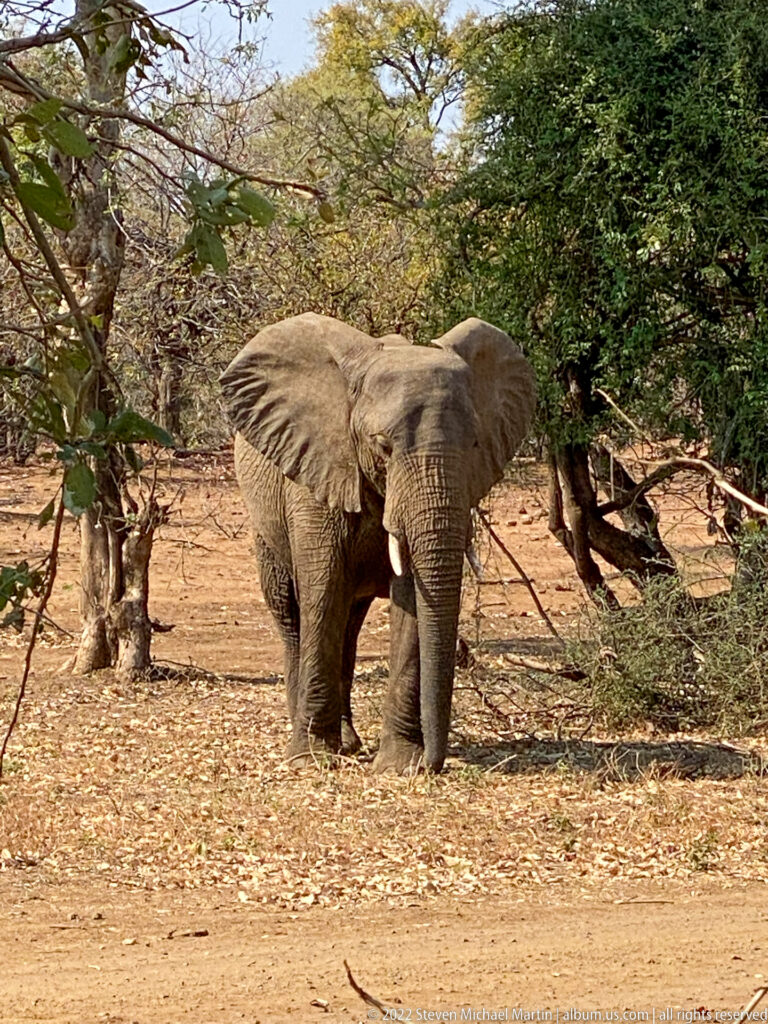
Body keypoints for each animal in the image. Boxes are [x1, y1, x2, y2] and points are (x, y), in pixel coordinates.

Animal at [220, 313, 536, 773]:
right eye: (383, 447)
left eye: (475, 444)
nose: (435, 764)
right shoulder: (317, 474)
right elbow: (323, 589)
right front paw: (313, 759)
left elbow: (411, 602)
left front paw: (400, 765)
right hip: (264, 519)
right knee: (292, 612)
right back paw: (309, 736)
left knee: (350, 624)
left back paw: (349, 742)